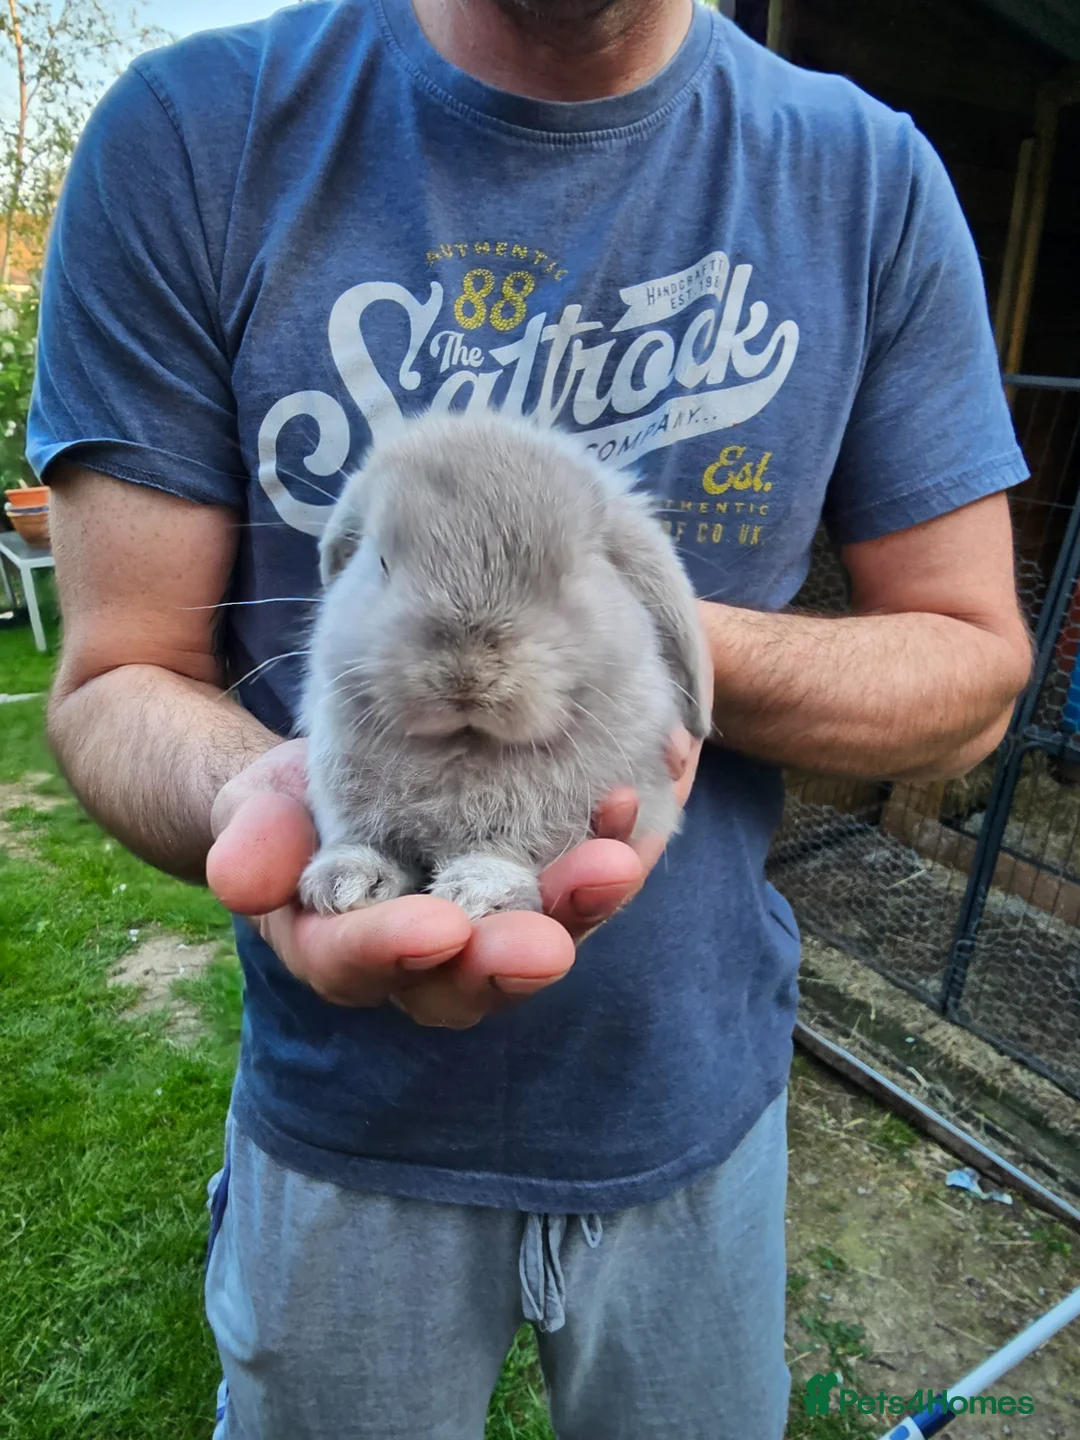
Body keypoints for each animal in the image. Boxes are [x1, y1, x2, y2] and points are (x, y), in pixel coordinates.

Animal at [297, 410, 712, 921]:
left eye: (568, 570)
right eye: (381, 562)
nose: (466, 675)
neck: (467, 746)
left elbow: (510, 851)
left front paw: (477, 891)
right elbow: (366, 842)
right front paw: (343, 883)